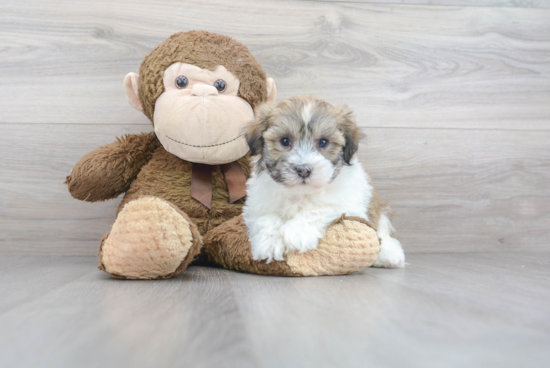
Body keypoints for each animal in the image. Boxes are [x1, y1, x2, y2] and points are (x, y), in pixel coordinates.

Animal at [244, 95, 408, 268]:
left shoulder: (349, 204)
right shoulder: (256, 205)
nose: (303, 169)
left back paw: (389, 255)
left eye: (323, 142)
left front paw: (297, 232)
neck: (301, 193)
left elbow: (320, 208)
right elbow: (266, 218)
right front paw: (269, 243)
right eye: (285, 141)